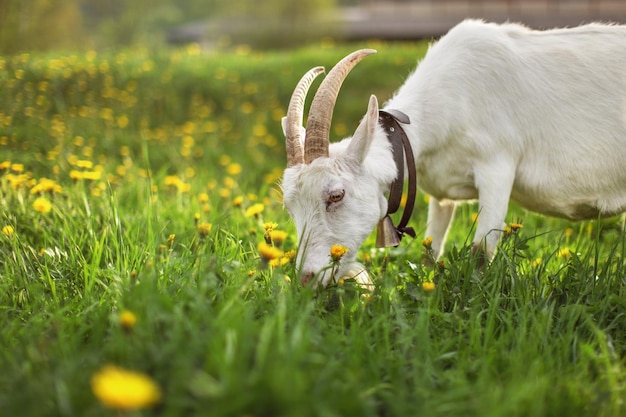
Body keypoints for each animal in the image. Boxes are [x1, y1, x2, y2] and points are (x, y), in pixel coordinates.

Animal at [282, 19, 624, 286]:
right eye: (289, 207)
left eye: (336, 195)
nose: (306, 279)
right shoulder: (441, 195)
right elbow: (430, 252)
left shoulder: (497, 166)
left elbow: (481, 253)